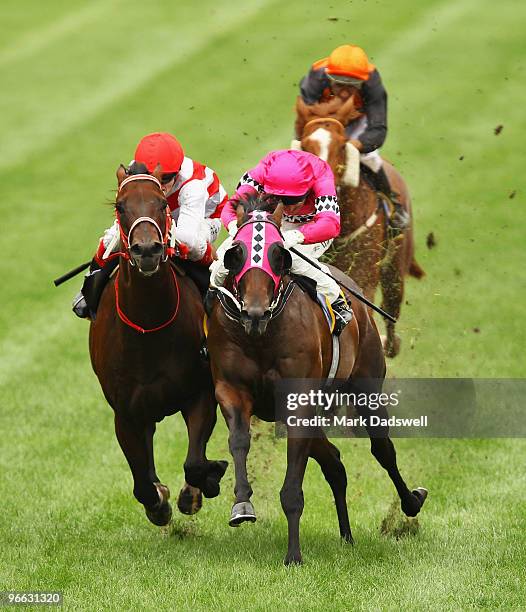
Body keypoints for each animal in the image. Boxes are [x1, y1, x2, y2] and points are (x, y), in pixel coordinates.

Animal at [89, 163, 229, 524]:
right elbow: (141, 484)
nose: (148, 250)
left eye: (162, 204)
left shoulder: (199, 395)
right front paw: (159, 502)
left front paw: (204, 483)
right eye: (120, 206)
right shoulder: (124, 413)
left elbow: (195, 463)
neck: (149, 328)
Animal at [207, 196, 428, 564]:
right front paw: (242, 504)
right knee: (335, 462)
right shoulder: (231, 390)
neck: (261, 336)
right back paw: (347, 535)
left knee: (382, 449)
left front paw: (293, 555)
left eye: (280, 253)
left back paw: (411, 502)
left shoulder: (299, 402)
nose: (254, 313)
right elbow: (238, 441)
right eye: (235, 253)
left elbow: (292, 489)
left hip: (367, 389)